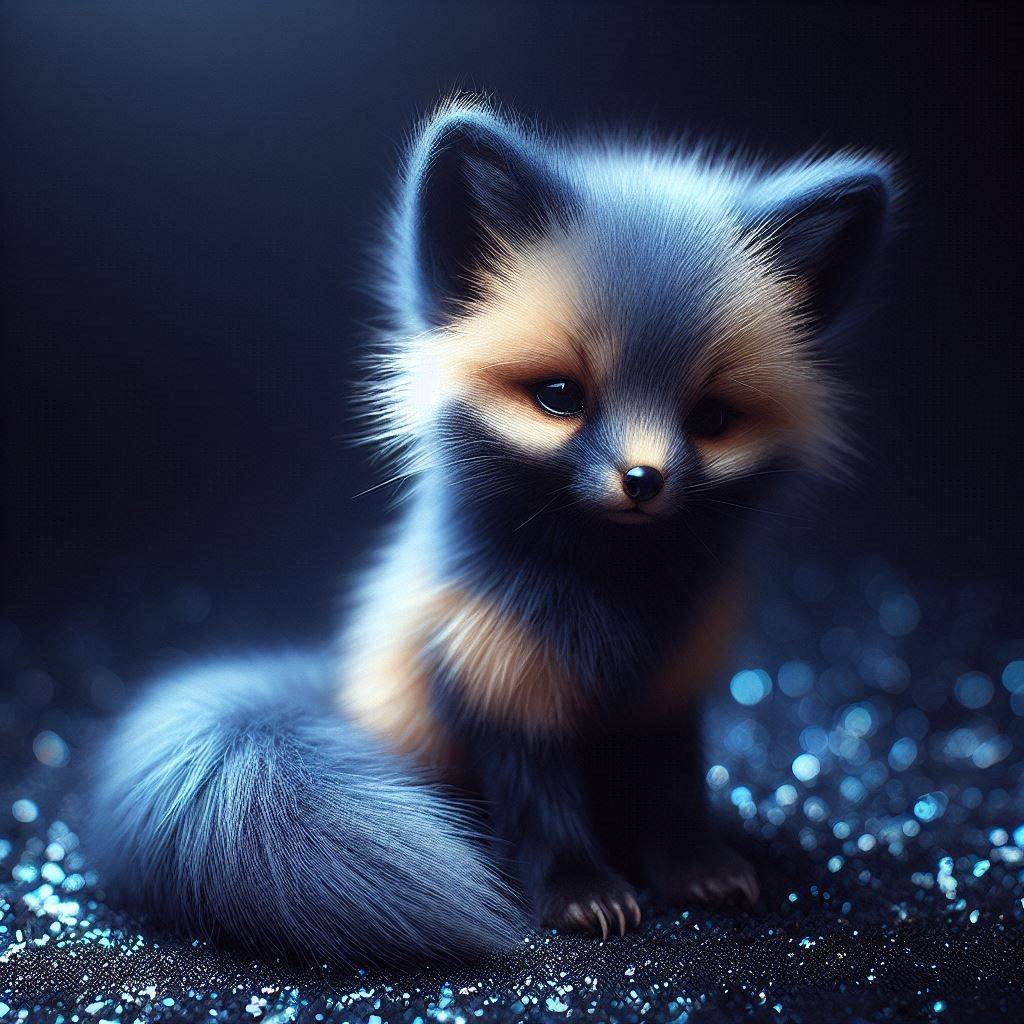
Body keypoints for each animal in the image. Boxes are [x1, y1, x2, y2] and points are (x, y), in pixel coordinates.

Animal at [91, 97, 895, 966]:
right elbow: (542, 816)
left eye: (712, 418)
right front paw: (580, 896)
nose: (643, 480)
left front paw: (698, 870)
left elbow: (674, 796)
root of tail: (335, 690)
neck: (610, 616)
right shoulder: (496, 686)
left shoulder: (668, 699)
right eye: (560, 396)